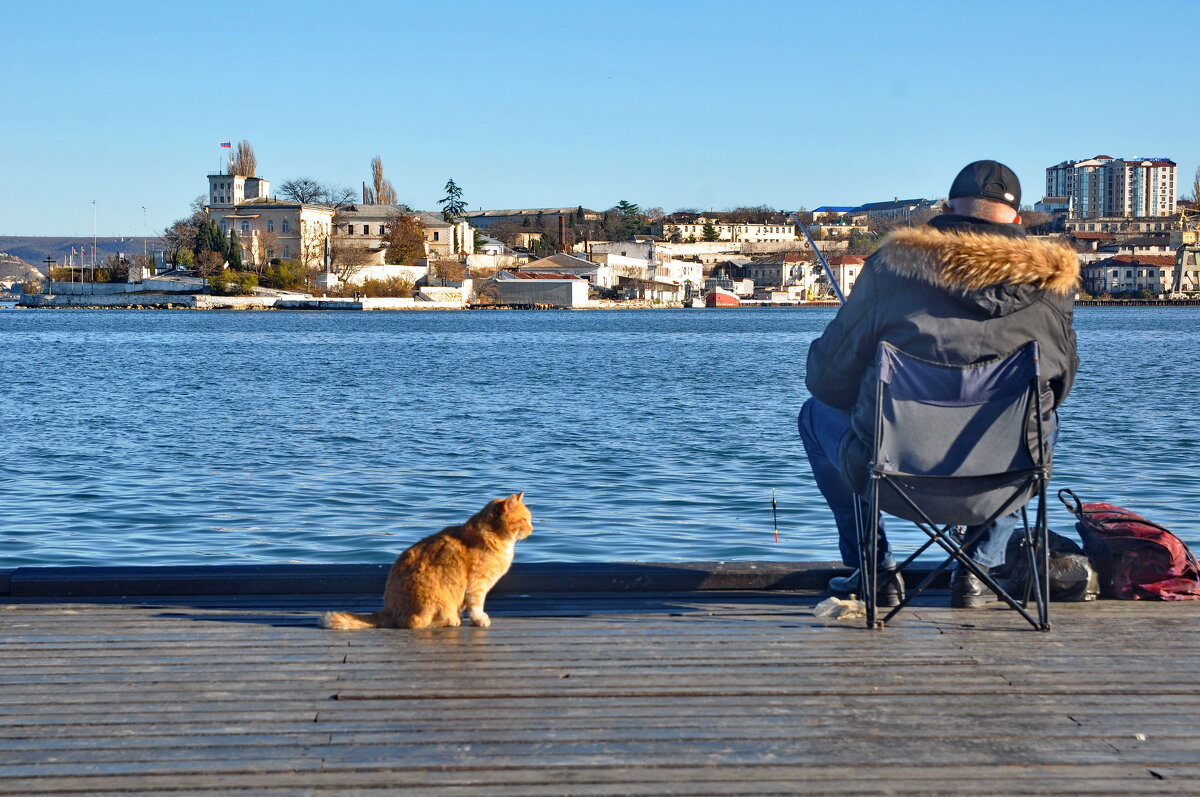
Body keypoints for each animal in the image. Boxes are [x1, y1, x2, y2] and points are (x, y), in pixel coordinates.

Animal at [319, 492, 530, 628]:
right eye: (524, 520)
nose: (532, 529)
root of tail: (389, 609)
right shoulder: (477, 584)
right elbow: (476, 606)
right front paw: (480, 619)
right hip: (432, 596)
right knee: (415, 623)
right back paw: (450, 620)